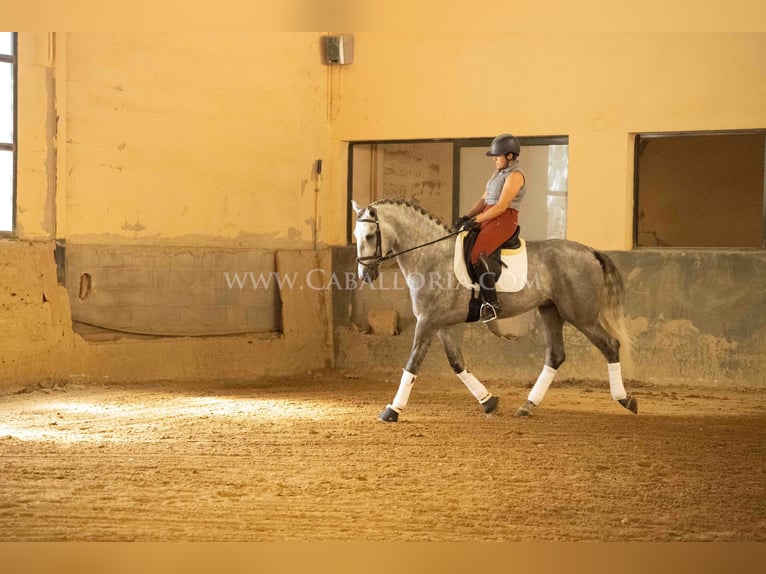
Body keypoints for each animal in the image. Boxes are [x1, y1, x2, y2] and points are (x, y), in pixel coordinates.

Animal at [352, 199, 640, 424]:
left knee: (610, 345)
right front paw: (488, 402)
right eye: (355, 236)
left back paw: (625, 400)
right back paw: (527, 406)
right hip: (551, 311)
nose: (365, 275)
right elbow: (457, 363)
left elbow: (413, 363)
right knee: (556, 355)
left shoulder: (427, 321)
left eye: (370, 236)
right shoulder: (439, 323)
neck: (432, 256)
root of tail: (590, 251)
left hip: (581, 315)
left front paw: (392, 410)